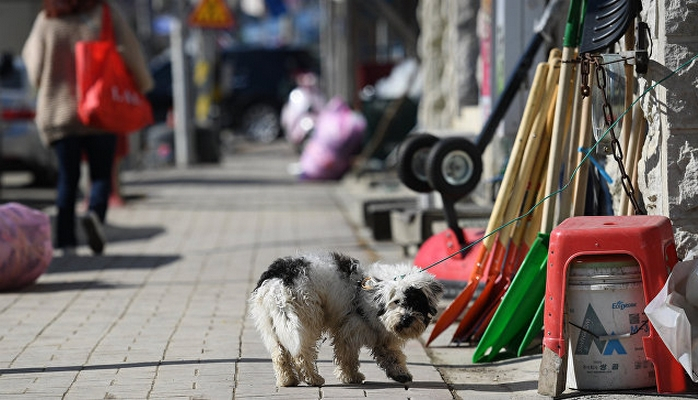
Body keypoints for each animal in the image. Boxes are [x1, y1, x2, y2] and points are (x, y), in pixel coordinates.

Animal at [247, 252, 440, 386]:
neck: (373, 294)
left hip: (273, 324)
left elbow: (390, 354)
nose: (406, 319)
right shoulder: (350, 329)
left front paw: (400, 373)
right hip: (305, 320)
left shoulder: (377, 332)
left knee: (279, 354)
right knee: (301, 354)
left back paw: (287, 380)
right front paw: (351, 377)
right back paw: (312, 378)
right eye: (397, 301)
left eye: (416, 302)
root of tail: (278, 280)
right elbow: (347, 356)